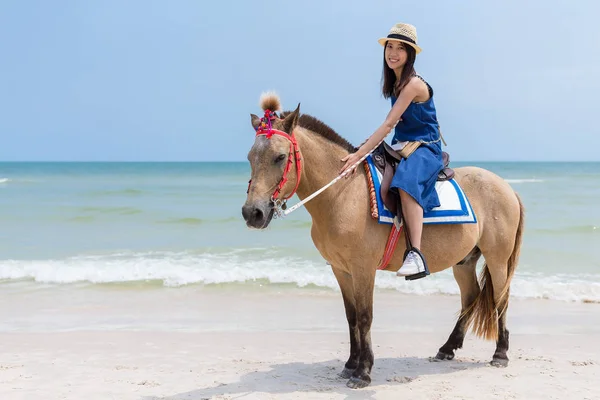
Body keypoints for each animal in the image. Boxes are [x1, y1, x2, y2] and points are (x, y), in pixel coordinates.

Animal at [241, 93, 524, 388]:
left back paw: (500, 353)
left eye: (280, 157)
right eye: (250, 157)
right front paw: (350, 364)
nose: (252, 213)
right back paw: (447, 348)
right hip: (464, 261)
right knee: (470, 298)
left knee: (501, 298)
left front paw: (363, 371)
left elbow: (365, 316)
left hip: (497, 259)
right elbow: (352, 316)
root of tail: (507, 188)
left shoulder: (363, 268)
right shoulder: (340, 269)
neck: (343, 193)